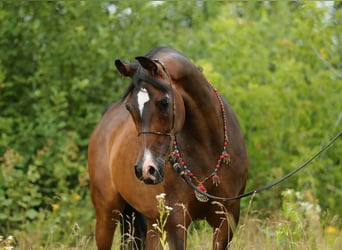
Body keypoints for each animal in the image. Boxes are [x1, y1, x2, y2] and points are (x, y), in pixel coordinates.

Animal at [88, 46, 248, 248]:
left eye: (164, 102)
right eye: (129, 108)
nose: (146, 169)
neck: (207, 148)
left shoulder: (227, 218)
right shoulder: (175, 222)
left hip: (152, 222)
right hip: (107, 214)